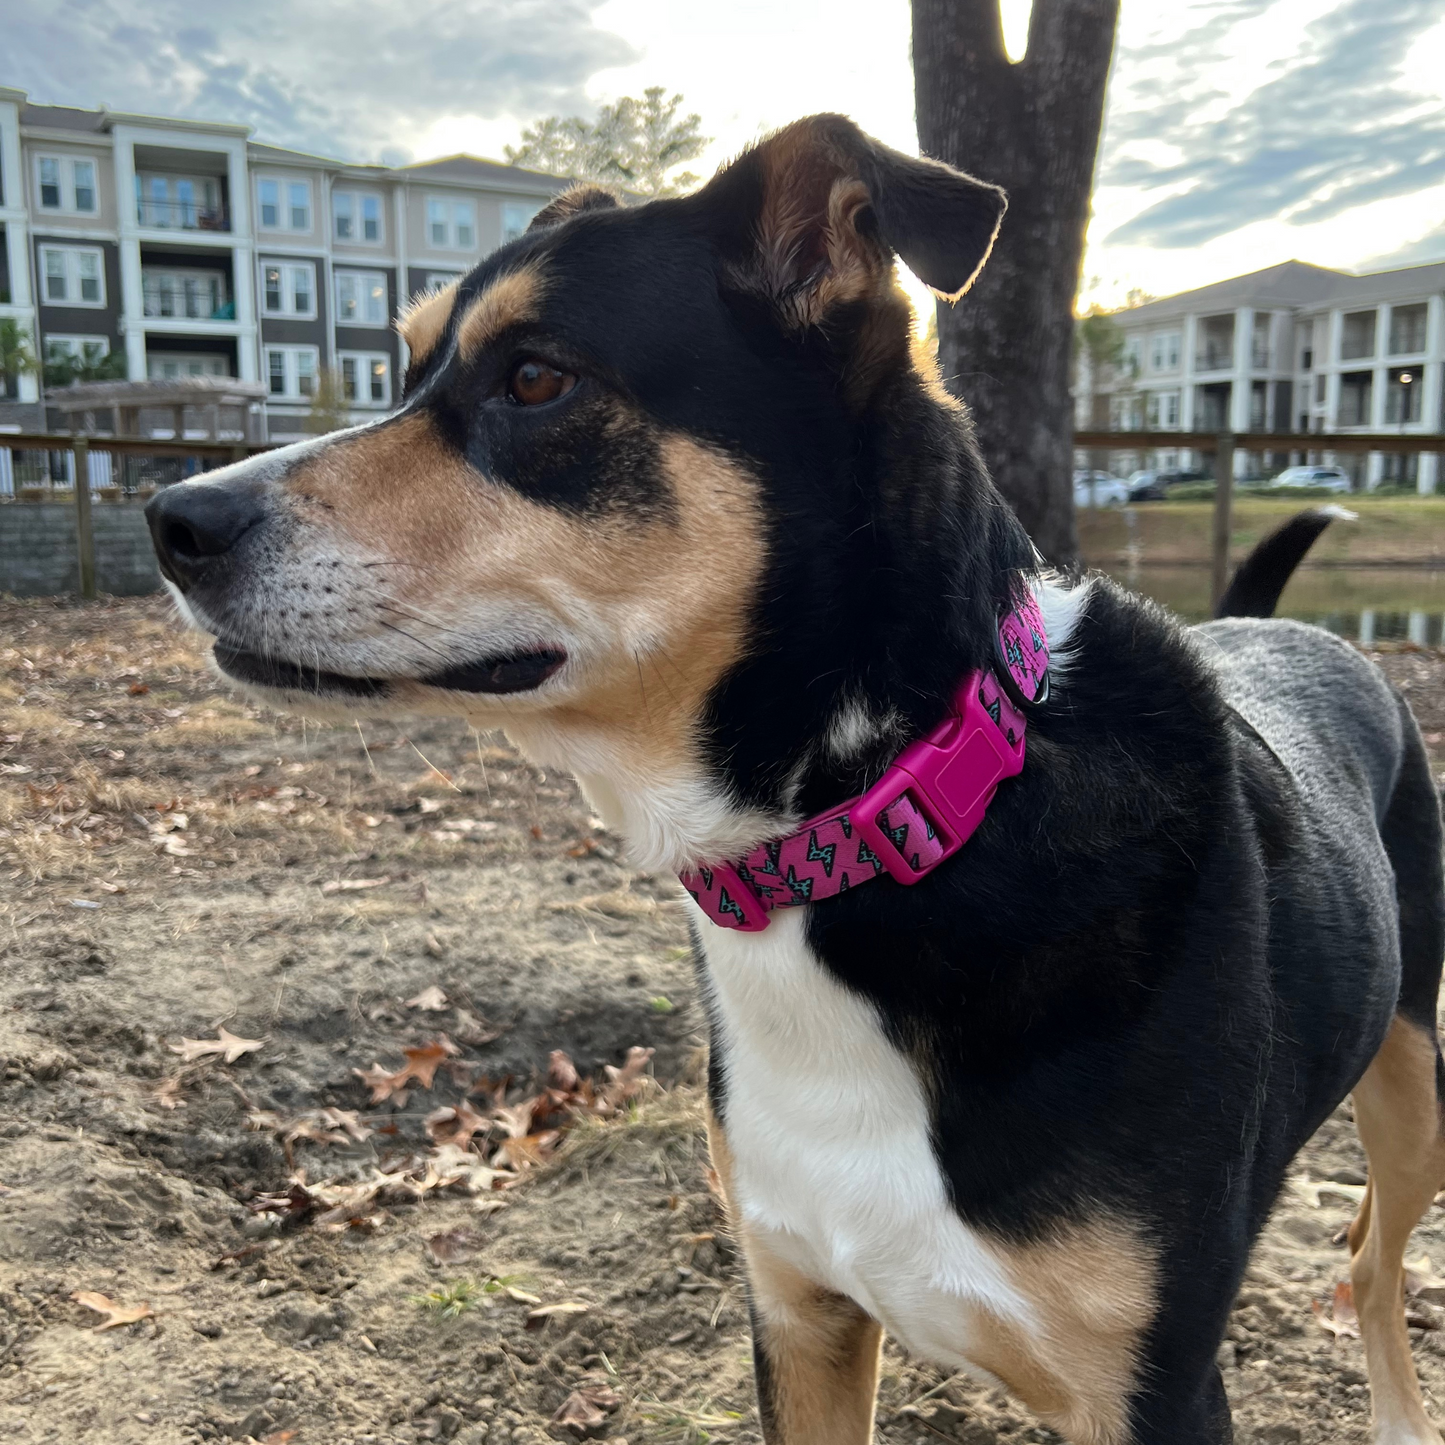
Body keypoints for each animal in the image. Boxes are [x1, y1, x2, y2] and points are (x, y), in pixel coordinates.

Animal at [149, 115, 1445, 1445]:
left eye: (536, 379)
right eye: (405, 367)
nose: (174, 519)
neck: (869, 823)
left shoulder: (1153, 1388)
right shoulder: (797, 1313)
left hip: (1412, 1089)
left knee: (1369, 1257)